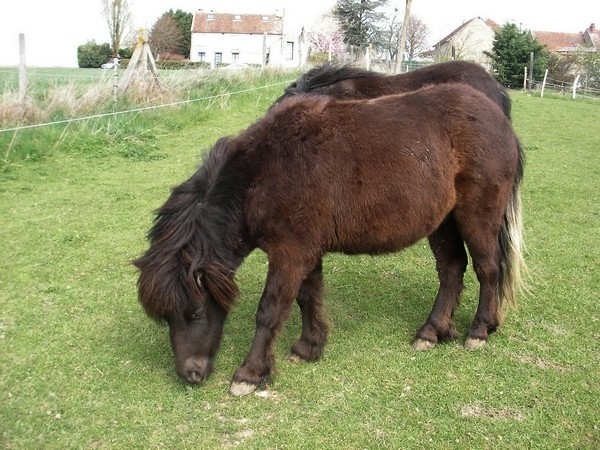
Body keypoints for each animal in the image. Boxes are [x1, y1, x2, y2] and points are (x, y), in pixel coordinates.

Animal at [132, 82, 524, 396]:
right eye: (166, 317)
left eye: (196, 312)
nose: (190, 374)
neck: (266, 172)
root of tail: (498, 118)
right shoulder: (305, 251)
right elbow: (308, 297)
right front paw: (309, 346)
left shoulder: (289, 254)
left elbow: (270, 311)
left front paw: (250, 373)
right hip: (443, 222)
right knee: (452, 270)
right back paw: (432, 332)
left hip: (477, 216)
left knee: (488, 269)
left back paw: (479, 330)